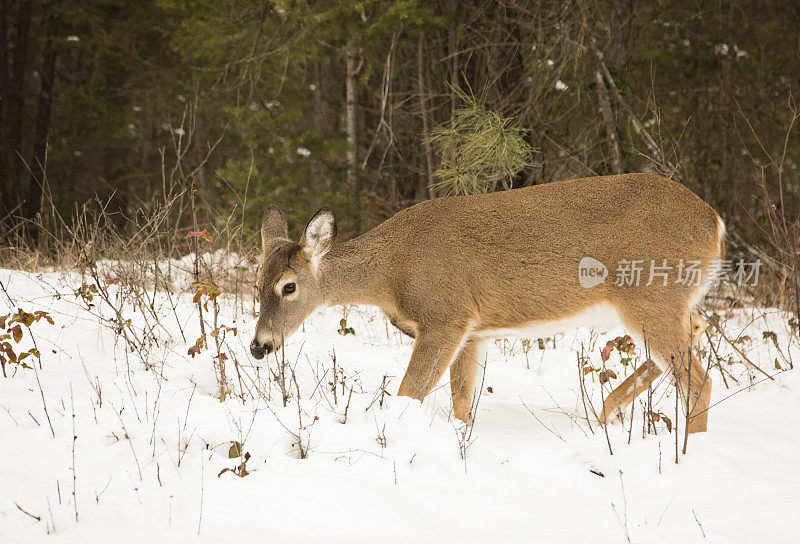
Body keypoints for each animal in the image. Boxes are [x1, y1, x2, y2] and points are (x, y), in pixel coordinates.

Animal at [252, 174, 724, 434]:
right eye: (257, 282)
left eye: (288, 287)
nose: (259, 346)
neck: (392, 272)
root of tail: (716, 223)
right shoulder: (474, 330)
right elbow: (462, 406)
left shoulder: (446, 314)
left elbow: (409, 393)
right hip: (666, 302)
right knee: (698, 330)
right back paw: (607, 411)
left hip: (652, 295)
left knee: (698, 381)